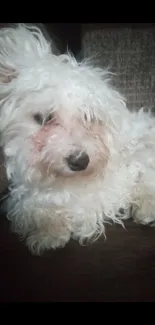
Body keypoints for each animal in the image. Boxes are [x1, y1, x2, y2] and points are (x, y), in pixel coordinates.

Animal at [0, 24, 155, 254]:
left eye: (88, 117)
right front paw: (48, 232)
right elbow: (38, 208)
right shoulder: (26, 195)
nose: (80, 162)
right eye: (45, 118)